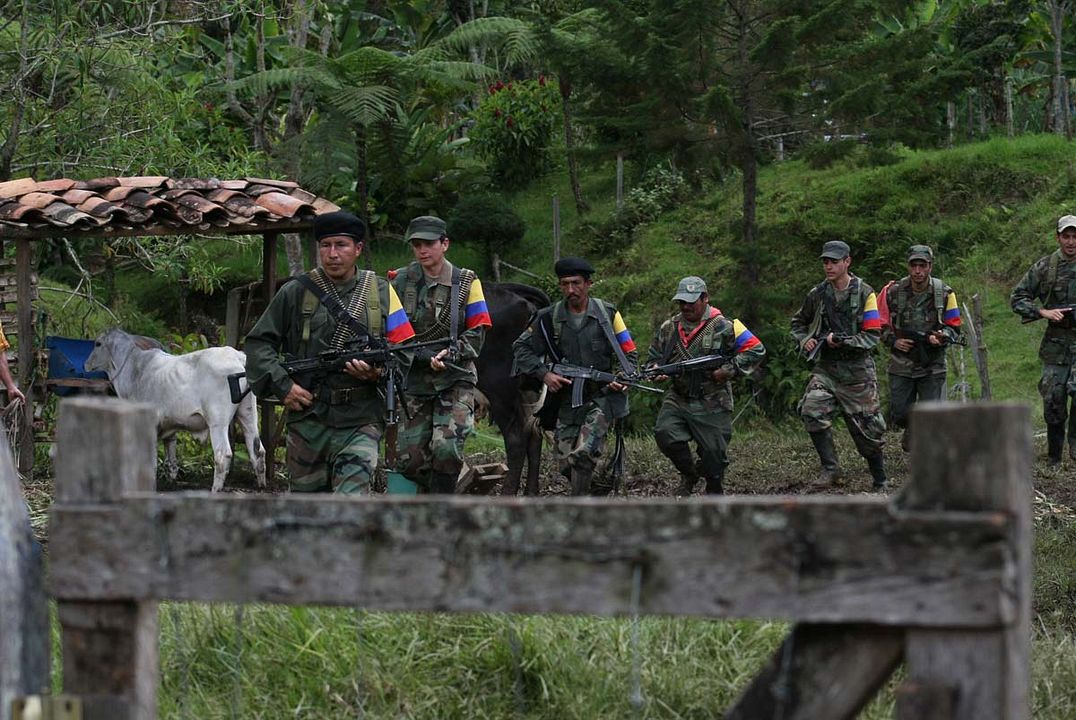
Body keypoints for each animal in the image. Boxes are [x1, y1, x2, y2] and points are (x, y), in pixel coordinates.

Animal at [86, 329, 266, 490]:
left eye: (98, 343)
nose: (86, 364)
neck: (135, 370)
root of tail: (237, 356)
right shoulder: (169, 426)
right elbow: (171, 459)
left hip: (217, 421)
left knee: (223, 455)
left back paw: (216, 490)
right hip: (248, 414)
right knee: (257, 450)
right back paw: (261, 487)